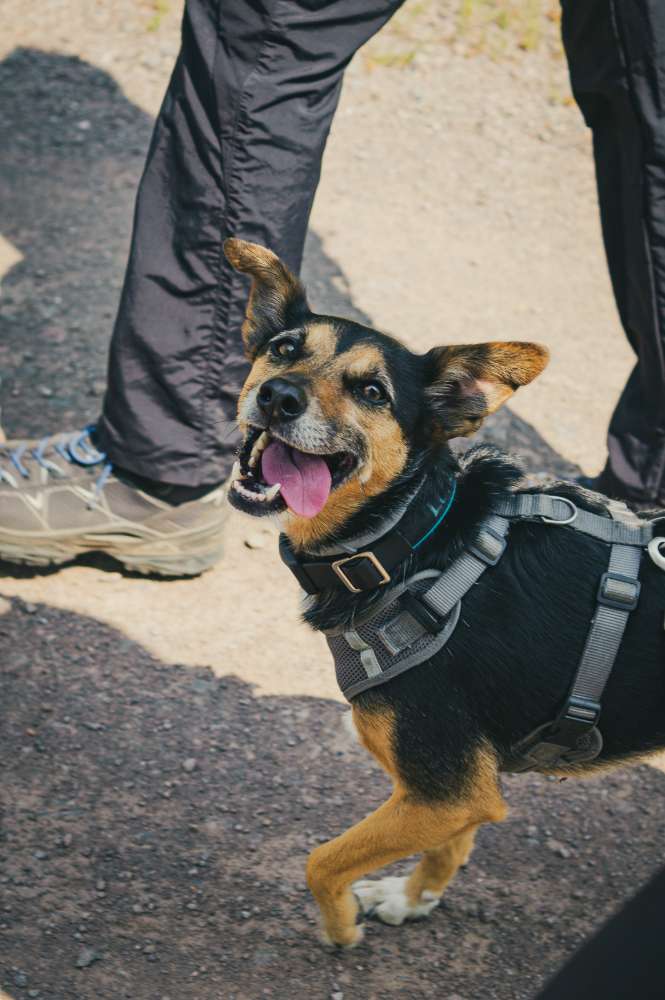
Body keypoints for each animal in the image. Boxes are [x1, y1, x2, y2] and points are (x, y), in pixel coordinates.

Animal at [222, 238, 664, 948]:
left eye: (373, 391)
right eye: (285, 348)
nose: (278, 395)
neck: (410, 540)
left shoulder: (444, 789)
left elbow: (322, 860)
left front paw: (342, 929)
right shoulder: (455, 795)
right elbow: (449, 846)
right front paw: (412, 899)